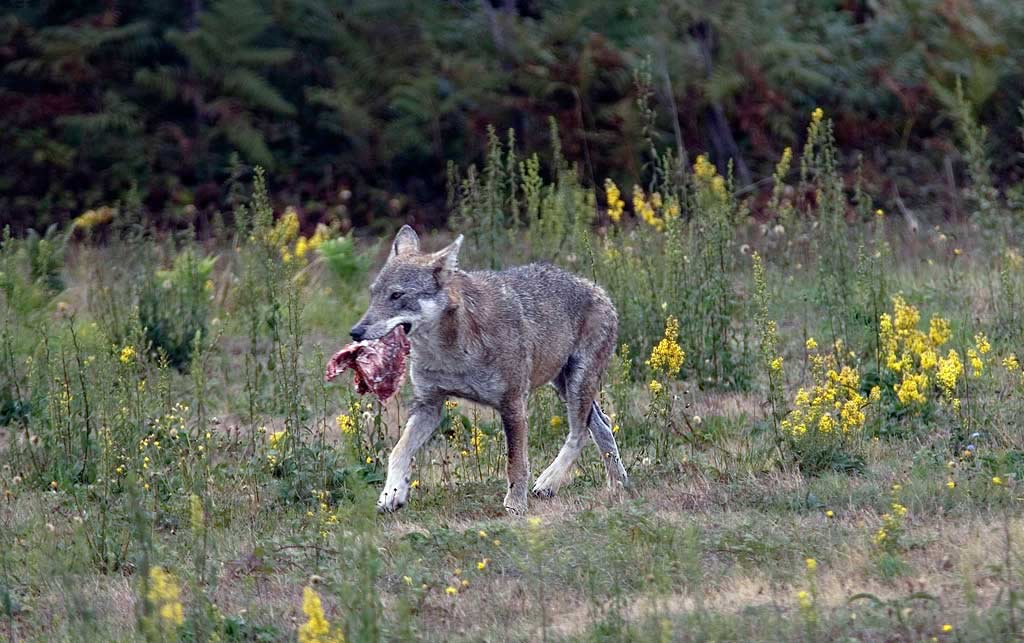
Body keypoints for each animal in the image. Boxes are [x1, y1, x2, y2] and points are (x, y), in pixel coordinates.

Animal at [348, 227, 626, 518]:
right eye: (373, 294)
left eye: (396, 296)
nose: (355, 332)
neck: (451, 354)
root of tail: (596, 288)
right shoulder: (428, 406)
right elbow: (398, 451)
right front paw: (392, 493)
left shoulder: (513, 405)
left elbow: (516, 464)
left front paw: (515, 505)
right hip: (564, 386)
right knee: (603, 425)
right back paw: (618, 485)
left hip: (576, 386)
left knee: (580, 434)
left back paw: (549, 482)